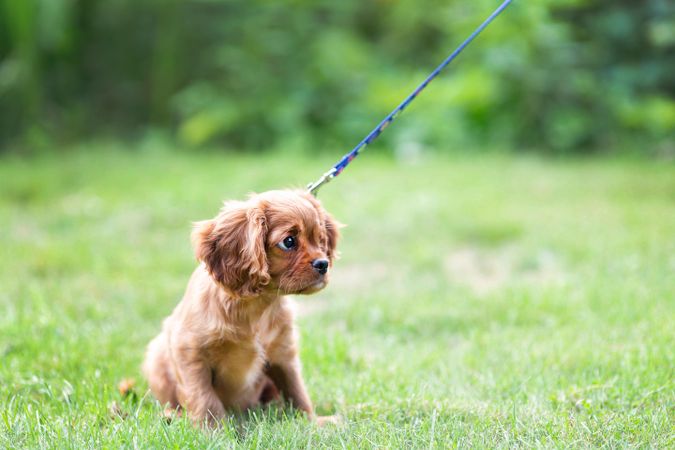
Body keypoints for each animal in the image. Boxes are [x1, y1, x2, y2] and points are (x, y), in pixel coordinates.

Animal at [145, 189, 340, 426]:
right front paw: (213, 430)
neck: (257, 306)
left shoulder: (283, 353)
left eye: (321, 239)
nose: (323, 264)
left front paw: (311, 421)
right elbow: (203, 397)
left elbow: (296, 390)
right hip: (155, 358)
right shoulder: (189, 352)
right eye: (289, 241)